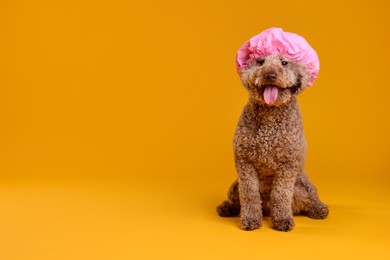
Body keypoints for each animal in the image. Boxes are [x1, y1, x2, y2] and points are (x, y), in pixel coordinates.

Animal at [216, 29, 330, 232]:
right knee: (237, 198)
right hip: (235, 185)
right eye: (261, 62)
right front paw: (250, 220)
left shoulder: (288, 165)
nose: (269, 75)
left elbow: (281, 194)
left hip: (303, 185)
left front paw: (283, 220)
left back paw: (319, 209)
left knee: (311, 198)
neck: (270, 115)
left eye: (284, 62)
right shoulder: (245, 163)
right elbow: (249, 195)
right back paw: (227, 207)